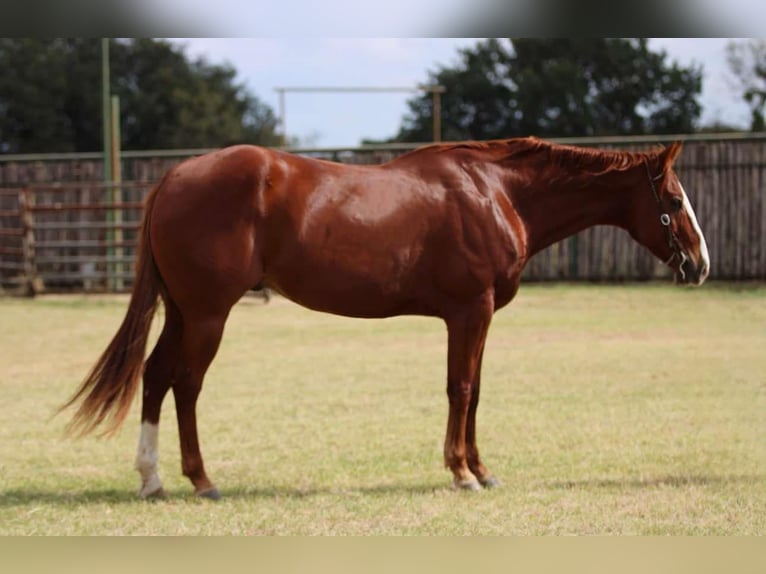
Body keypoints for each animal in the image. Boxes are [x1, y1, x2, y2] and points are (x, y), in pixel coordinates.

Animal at [63, 138, 712, 500]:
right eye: (674, 201)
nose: (701, 264)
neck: (497, 193)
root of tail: (174, 177)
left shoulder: (476, 318)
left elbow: (476, 393)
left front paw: (481, 469)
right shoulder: (468, 311)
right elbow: (461, 388)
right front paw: (462, 473)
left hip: (183, 311)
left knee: (155, 376)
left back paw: (152, 480)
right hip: (207, 315)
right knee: (186, 384)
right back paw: (200, 481)